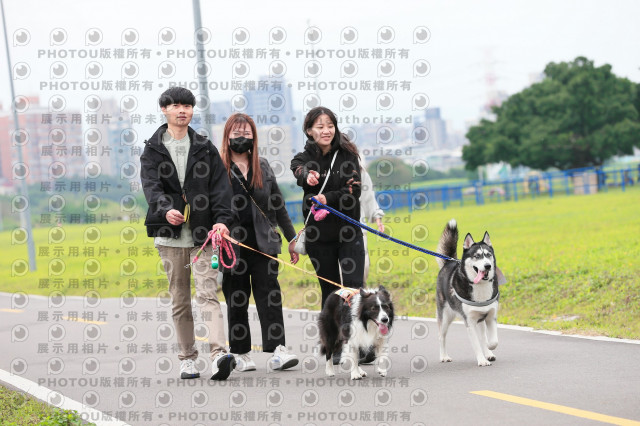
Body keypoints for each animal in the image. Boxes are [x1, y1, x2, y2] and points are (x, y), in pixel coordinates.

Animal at [436, 219, 499, 367]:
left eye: (488, 255)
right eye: (477, 256)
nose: (487, 266)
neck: (480, 287)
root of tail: (448, 262)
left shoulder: (490, 316)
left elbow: (492, 341)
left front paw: (489, 349)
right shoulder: (470, 322)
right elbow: (476, 344)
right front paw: (482, 360)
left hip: (480, 320)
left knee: (483, 336)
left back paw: (488, 353)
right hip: (445, 317)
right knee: (441, 337)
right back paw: (443, 356)